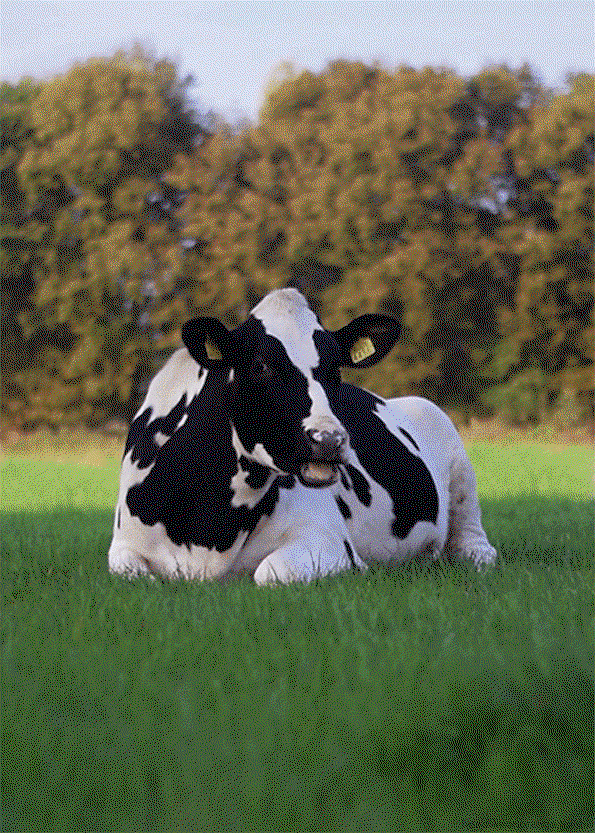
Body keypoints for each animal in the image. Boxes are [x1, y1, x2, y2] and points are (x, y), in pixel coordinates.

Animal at [108, 288, 496, 584]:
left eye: (335, 367)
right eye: (260, 365)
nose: (328, 439)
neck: (211, 527)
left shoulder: (327, 540)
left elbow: (268, 572)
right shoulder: (122, 549)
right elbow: (134, 574)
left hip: (459, 464)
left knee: (475, 542)